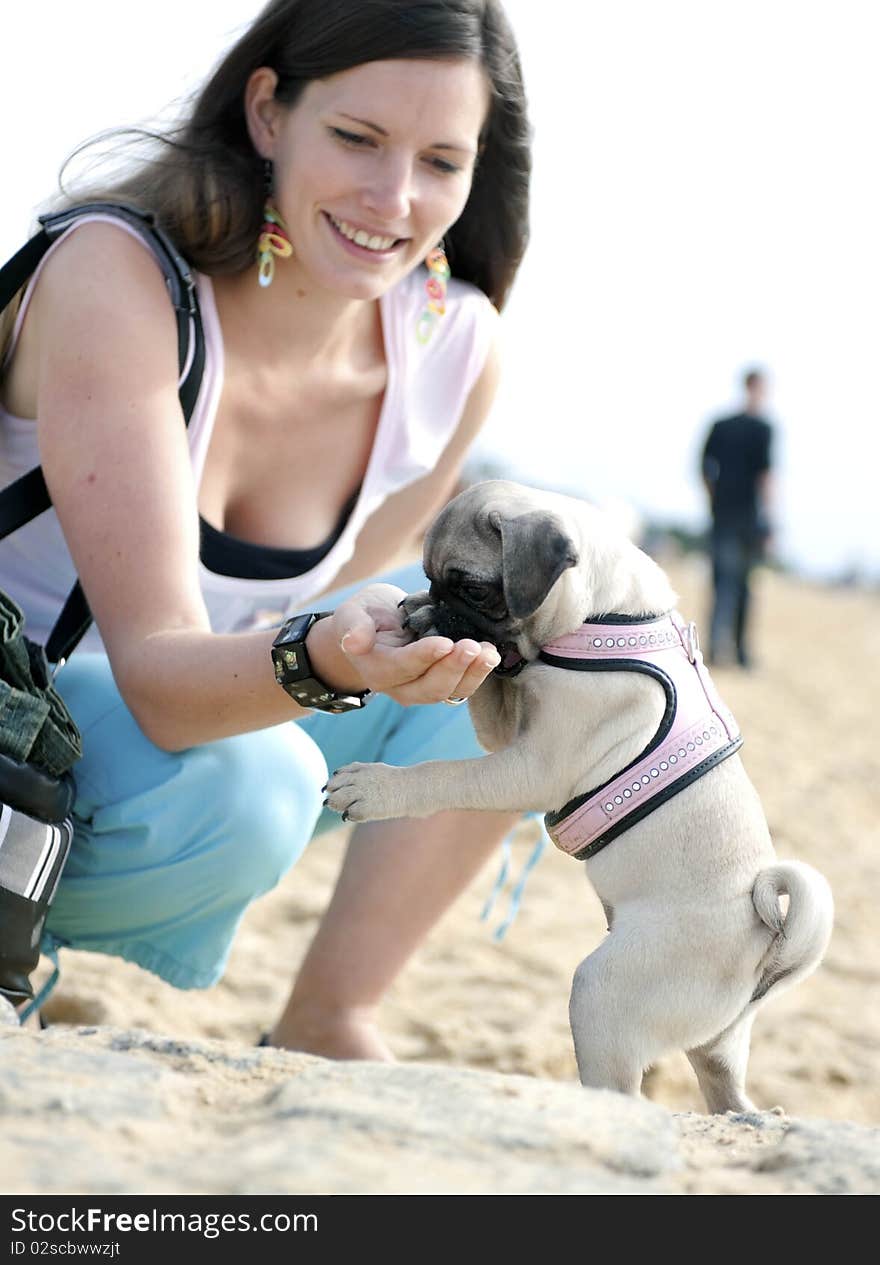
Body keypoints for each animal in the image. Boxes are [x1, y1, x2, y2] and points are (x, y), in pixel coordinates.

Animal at [326, 478, 834, 1113]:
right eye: (433, 579)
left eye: (473, 588)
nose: (436, 606)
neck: (601, 613)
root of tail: (767, 946)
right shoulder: (507, 730)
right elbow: (488, 686)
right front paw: (419, 617)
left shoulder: (533, 768)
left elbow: (443, 773)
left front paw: (374, 785)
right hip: (716, 1041)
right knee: (728, 1095)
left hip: (605, 991)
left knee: (623, 1088)